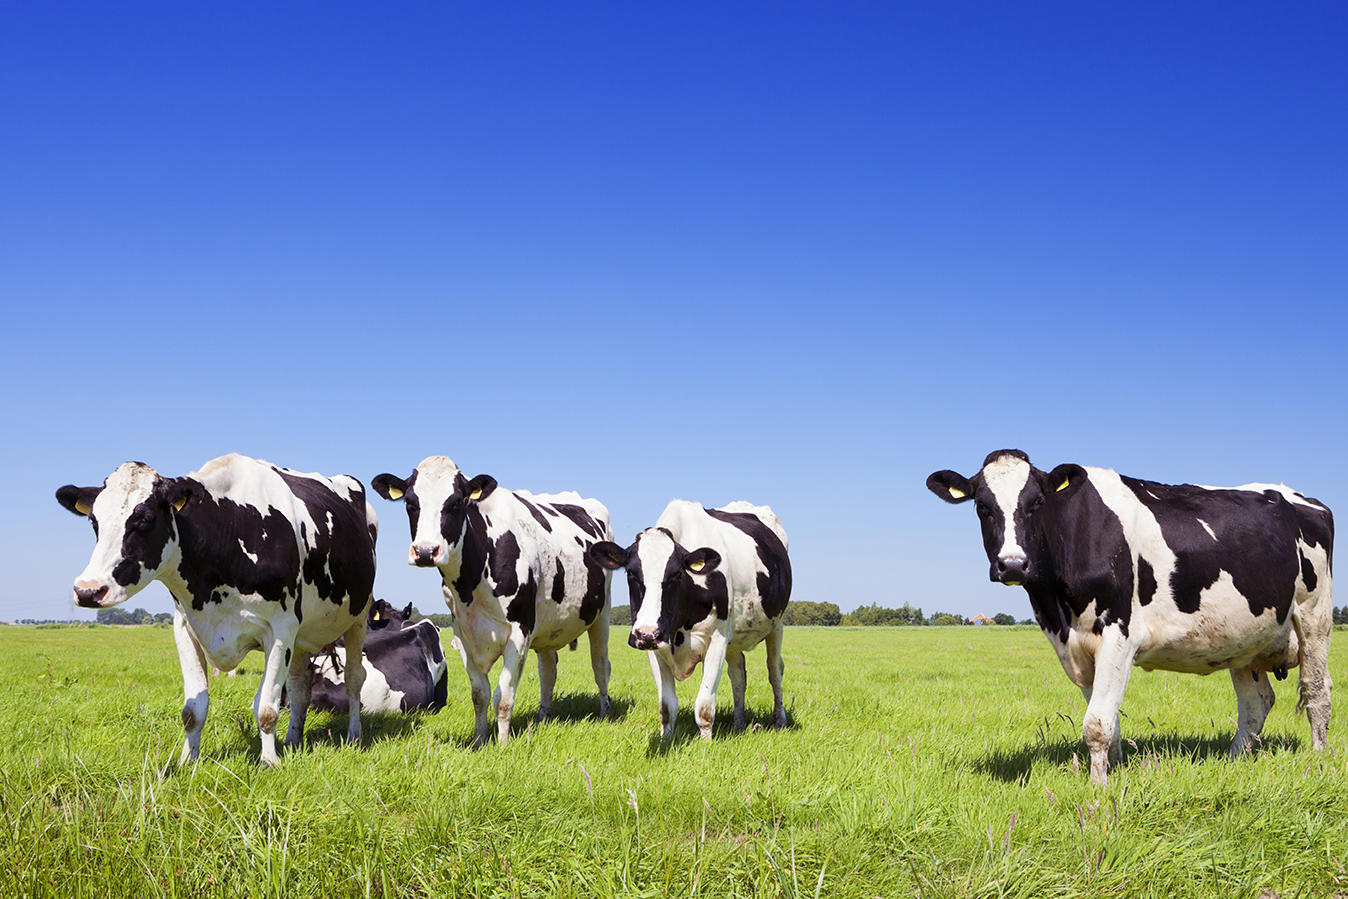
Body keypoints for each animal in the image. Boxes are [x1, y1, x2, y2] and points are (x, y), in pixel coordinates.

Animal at [56, 453, 378, 767]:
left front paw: (269, 762)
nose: (87, 590)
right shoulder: (186, 628)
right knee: (300, 687)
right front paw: (188, 761)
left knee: (353, 679)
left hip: (359, 618)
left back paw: (354, 736)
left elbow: (266, 709)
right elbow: (193, 710)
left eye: (144, 519)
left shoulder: (280, 629)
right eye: (94, 521)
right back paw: (293, 740)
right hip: (302, 635)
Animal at [370, 456, 612, 746]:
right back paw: (543, 717)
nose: (426, 551)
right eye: (410, 502)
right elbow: (480, 694)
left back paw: (604, 713)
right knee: (547, 672)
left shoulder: (519, 633)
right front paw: (479, 740)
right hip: (547, 625)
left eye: (456, 502)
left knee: (600, 666)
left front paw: (503, 744)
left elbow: (503, 697)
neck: (472, 581)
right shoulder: (463, 635)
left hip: (602, 614)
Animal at [587, 499, 792, 741]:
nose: (647, 633)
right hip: (733, 639)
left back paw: (780, 721)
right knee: (738, 674)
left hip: (777, 625)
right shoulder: (655, 647)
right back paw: (739, 724)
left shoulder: (717, 639)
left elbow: (704, 705)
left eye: (676, 575)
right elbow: (667, 707)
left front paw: (706, 744)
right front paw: (666, 739)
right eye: (631, 574)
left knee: (775, 670)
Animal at [927, 449, 1334, 784]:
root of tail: (1302, 497)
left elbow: (1096, 724)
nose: (1012, 564)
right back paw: (1232, 761)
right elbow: (1109, 720)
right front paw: (1115, 770)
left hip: (1315, 615)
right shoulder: (1077, 648)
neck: (1057, 608)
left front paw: (1097, 789)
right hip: (1245, 639)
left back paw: (1316, 761)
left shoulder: (1119, 633)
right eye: (982, 505)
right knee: (1255, 704)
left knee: (1316, 691)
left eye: (1037, 502)